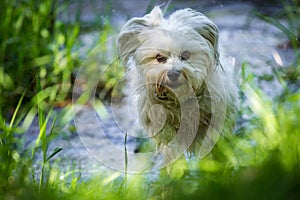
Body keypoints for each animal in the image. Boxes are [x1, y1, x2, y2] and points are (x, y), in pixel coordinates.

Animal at [117, 6, 237, 162]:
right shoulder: (160, 123)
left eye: (185, 55)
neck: (178, 98)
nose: (173, 73)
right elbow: (171, 145)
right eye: (159, 58)